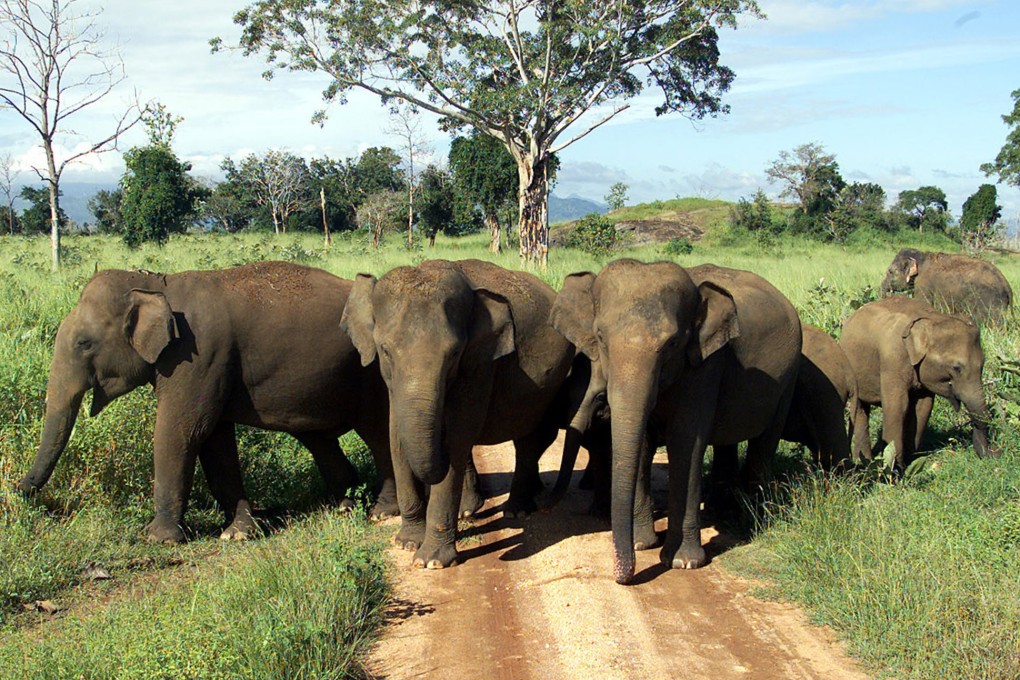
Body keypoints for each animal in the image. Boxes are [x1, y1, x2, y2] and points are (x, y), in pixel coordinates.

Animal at [21, 261, 398, 543]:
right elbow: (214, 441)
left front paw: (158, 538)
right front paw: (239, 532)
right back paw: (345, 505)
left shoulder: (197, 357)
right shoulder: (210, 368)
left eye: (84, 343)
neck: (155, 283)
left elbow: (180, 431)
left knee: (378, 432)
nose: (19, 491)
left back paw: (382, 512)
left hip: (371, 376)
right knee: (319, 437)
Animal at [340, 259, 574, 569]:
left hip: (548, 386)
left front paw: (431, 561)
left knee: (527, 440)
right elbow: (396, 438)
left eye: (453, 354)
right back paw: (469, 510)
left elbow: (457, 437)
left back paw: (516, 511)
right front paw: (406, 542)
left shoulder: (480, 364)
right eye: (385, 350)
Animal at [551, 260, 801, 584]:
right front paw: (641, 543)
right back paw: (719, 513)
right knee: (727, 443)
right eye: (601, 336)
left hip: (789, 378)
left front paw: (684, 562)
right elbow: (643, 441)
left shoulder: (704, 365)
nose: (623, 575)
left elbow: (686, 442)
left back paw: (753, 520)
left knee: (764, 445)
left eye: (672, 343)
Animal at [840, 295, 1001, 470]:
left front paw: (909, 461)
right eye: (956, 367)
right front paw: (894, 470)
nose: (994, 453)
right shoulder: (892, 359)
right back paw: (865, 463)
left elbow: (922, 407)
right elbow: (897, 406)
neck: (932, 319)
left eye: (983, 365)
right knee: (860, 408)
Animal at [880, 248, 1013, 324]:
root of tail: (1007, 285)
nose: (887, 294)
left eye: (890, 271)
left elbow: (922, 304)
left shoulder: (924, 285)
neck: (921, 257)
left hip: (990, 302)